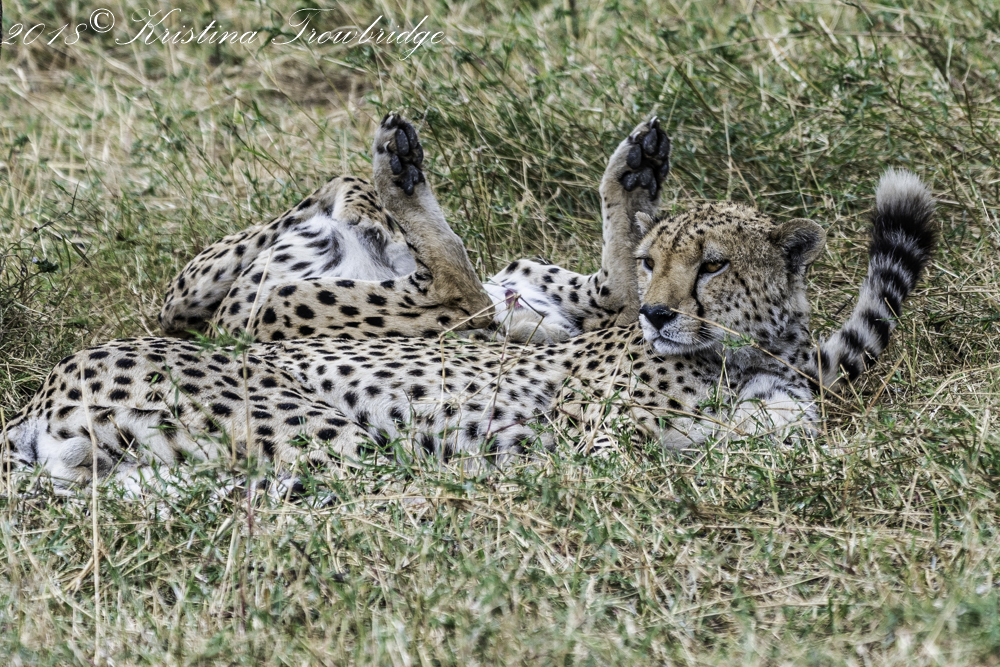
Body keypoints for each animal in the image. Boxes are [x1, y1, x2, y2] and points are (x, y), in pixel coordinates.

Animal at [2, 168, 936, 496]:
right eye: (656, 260)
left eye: (710, 265)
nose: (657, 312)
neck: (743, 356)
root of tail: (41, 394)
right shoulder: (602, 440)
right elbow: (660, 452)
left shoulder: (783, 417)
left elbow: (768, 439)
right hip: (323, 427)